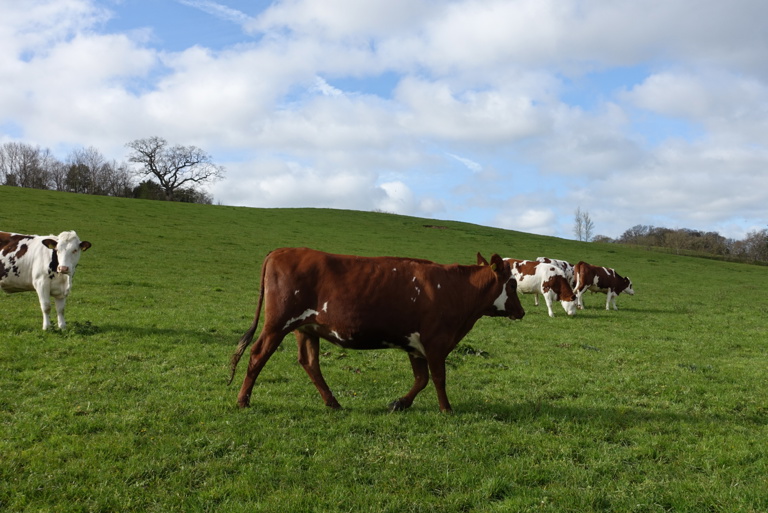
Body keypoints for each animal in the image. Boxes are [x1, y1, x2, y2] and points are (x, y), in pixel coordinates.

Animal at [228, 248, 525, 413]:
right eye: (512, 285)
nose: (521, 312)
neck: (456, 289)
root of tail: (282, 251)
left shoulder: (415, 344)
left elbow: (421, 379)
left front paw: (400, 403)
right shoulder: (436, 342)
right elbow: (438, 378)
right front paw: (446, 409)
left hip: (307, 328)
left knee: (309, 363)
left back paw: (333, 403)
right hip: (278, 323)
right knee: (257, 355)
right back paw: (243, 400)